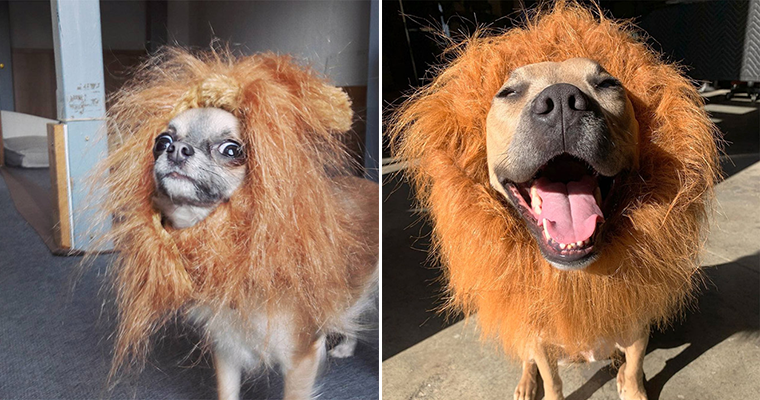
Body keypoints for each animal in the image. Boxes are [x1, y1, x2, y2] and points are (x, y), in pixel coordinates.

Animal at [98, 47, 378, 400]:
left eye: (232, 149)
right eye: (161, 141)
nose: (176, 149)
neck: (233, 248)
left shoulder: (300, 359)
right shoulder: (227, 349)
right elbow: (227, 392)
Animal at [392, 3, 720, 400]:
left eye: (608, 84)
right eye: (509, 91)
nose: (562, 101)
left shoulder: (636, 327)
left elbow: (633, 366)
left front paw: (632, 387)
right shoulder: (540, 339)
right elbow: (552, 377)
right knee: (527, 359)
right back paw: (525, 384)